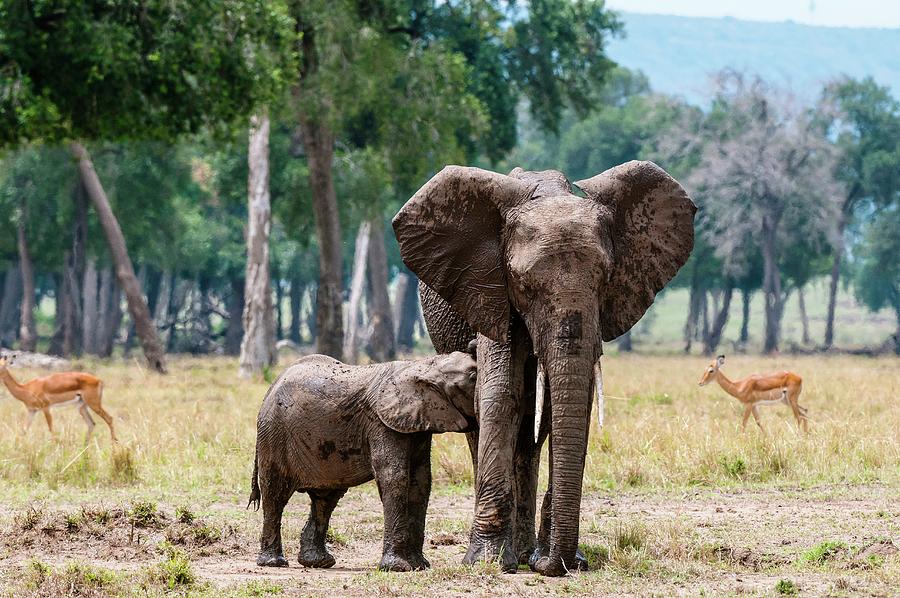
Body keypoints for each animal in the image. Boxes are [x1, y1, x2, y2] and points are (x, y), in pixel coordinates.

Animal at [243, 354, 474, 576]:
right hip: (273, 434)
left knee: (325, 498)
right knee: (275, 494)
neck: (424, 364)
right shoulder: (381, 424)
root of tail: (271, 387)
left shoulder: (417, 425)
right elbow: (395, 477)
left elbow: (421, 482)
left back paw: (319, 562)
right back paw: (274, 563)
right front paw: (398, 568)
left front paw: (419, 566)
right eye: (473, 377)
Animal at [392, 162, 696, 580]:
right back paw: (511, 554)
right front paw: (487, 561)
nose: (551, 565)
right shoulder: (491, 289)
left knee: (531, 432)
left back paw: (523, 553)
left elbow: (563, 405)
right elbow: (500, 394)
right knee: (484, 421)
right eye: (523, 284)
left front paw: (562, 560)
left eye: (606, 279)